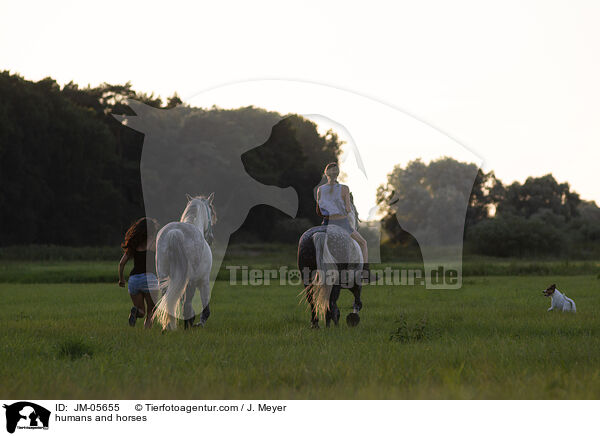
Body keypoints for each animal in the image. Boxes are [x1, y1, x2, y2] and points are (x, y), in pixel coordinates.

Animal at [152, 194, 216, 330]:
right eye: (211, 209)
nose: (211, 238)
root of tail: (175, 232)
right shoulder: (204, 280)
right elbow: (204, 307)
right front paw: (199, 323)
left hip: (164, 277)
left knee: (168, 299)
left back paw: (169, 326)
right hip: (191, 281)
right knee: (186, 304)